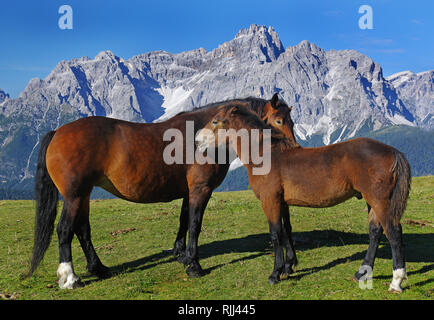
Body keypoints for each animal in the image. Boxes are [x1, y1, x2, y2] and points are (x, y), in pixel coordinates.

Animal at [26, 94, 298, 288]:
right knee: (65, 230)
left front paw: (182, 255)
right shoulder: (200, 189)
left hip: (83, 194)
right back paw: (70, 277)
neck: (204, 135)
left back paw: (99, 268)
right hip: (74, 196)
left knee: (82, 230)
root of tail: (58, 132)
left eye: (291, 121)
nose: (292, 148)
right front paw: (194, 266)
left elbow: (184, 221)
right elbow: (195, 225)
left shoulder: (189, 191)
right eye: (278, 121)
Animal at [196, 104, 410, 292]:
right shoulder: (281, 203)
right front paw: (287, 268)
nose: (197, 141)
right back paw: (361, 273)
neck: (266, 155)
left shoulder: (270, 201)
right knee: (375, 232)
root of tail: (393, 152)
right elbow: (285, 232)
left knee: (393, 232)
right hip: (371, 201)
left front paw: (275, 274)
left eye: (215, 121)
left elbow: (275, 235)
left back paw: (396, 282)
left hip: (380, 201)